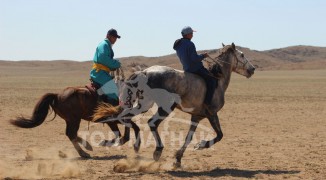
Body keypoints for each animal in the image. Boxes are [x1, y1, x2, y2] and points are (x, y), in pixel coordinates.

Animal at [9, 83, 140, 158]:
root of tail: (57, 95)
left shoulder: (116, 120)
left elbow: (129, 130)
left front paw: (134, 146)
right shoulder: (112, 120)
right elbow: (123, 133)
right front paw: (107, 142)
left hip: (71, 120)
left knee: (71, 133)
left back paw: (87, 147)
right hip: (74, 119)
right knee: (71, 133)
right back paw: (84, 152)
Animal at [93, 43, 256, 167]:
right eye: (242, 55)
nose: (252, 69)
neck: (217, 80)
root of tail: (145, 72)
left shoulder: (196, 117)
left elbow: (189, 137)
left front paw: (178, 159)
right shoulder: (212, 114)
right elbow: (220, 135)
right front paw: (201, 145)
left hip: (144, 104)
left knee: (124, 116)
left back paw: (128, 143)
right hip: (165, 107)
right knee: (151, 123)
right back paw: (157, 150)